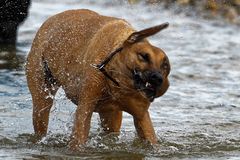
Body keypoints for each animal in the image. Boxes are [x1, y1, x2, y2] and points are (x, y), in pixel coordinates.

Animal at [25, 9, 170, 149]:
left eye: (165, 65)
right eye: (143, 56)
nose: (158, 78)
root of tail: (49, 21)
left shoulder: (141, 115)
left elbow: (151, 139)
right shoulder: (85, 108)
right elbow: (78, 138)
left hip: (111, 116)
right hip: (41, 100)